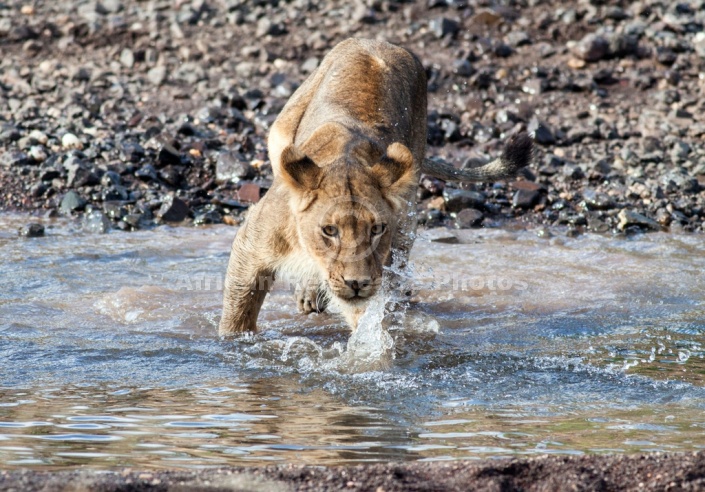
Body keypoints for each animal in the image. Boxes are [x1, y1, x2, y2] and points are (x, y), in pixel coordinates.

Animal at [217, 37, 532, 334]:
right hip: (281, 137)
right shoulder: (252, 247)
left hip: (408, 203)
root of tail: (380, 42)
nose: (358, 283)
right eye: (329, 230)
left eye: (377, 229)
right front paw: (232, 342)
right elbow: (238, 313)